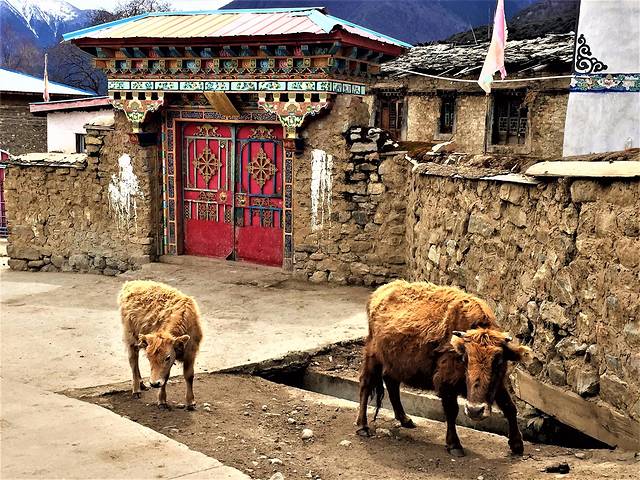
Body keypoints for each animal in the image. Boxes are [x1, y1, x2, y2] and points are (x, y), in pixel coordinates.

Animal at [118, 280, 203, 410]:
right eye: (149, 358)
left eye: (167, 357)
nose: (154, 383)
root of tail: (131, 284)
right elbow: (166, 376)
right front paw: (162, 401)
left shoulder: (191, 353)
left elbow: (189, 375)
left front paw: (190, 403)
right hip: (130, 339)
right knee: (133, 361)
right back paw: (136, 389)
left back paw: (142, 384)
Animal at [356, 280, 531, 457]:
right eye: (465, 358)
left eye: (498, 360)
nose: (474, 411)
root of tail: (381, 291)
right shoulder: (446, 383)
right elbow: (451, 411)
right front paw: (454, 445)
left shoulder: (498, 384)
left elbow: (510, 407)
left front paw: (517, 445)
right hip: (373, 357)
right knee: (366, 384)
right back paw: (363, 426)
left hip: (395, 363)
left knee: (391, 384)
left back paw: (405, 419)